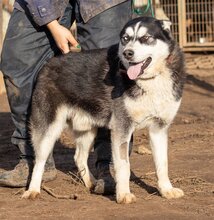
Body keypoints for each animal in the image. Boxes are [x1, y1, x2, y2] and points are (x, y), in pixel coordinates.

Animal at [22, 17, 186, 205]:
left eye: (145, 38)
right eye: (125, 39)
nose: (128, 53)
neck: (150, 80)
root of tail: (49, 64)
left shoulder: (159, 129)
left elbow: (162, 164)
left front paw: (166, 190)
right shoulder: (122, 128)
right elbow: (123, 165)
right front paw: (123, 194)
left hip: (87, 129)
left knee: (79, 157)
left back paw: (92, 183)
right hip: (49, 130)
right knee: (39, 160)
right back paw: (33, 190)